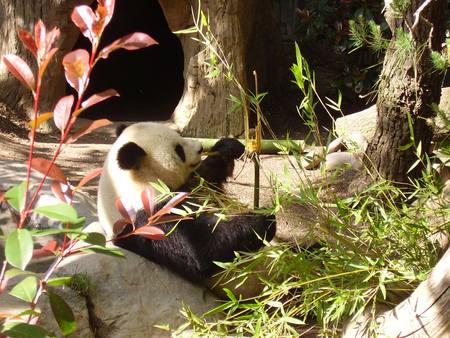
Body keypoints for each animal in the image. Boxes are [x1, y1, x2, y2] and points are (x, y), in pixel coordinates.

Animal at [97, 121, 274, 282]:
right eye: (179, 150)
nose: (200, 147)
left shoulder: (186, 187)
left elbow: (204, 180)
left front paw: (228, 146)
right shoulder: (148, 216)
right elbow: (199, 249)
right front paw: (263, 219)